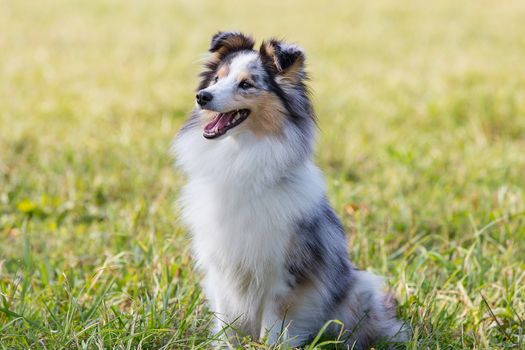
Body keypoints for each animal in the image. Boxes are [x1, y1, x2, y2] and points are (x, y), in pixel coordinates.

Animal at [172, 32, 410, 348]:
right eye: (216, 79)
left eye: (246, 84)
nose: (202, 97)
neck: (240, 156)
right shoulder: (221, 265)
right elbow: (226, 322)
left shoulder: (283, 271)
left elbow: (274, 325)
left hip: (359, 288)